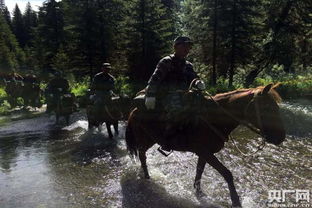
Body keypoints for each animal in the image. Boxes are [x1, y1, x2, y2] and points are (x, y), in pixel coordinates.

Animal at [125, 83, 286, 207]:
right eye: (267, 108)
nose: (281, 137)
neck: (214, 118)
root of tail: (134, 110)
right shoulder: (206, 152)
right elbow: (227, 174)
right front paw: (235, 202)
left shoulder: (204, 153)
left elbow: (199, 171)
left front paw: (198, 192)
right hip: (144, 139)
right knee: (142, 156)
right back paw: (147, 177)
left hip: (150, 140)